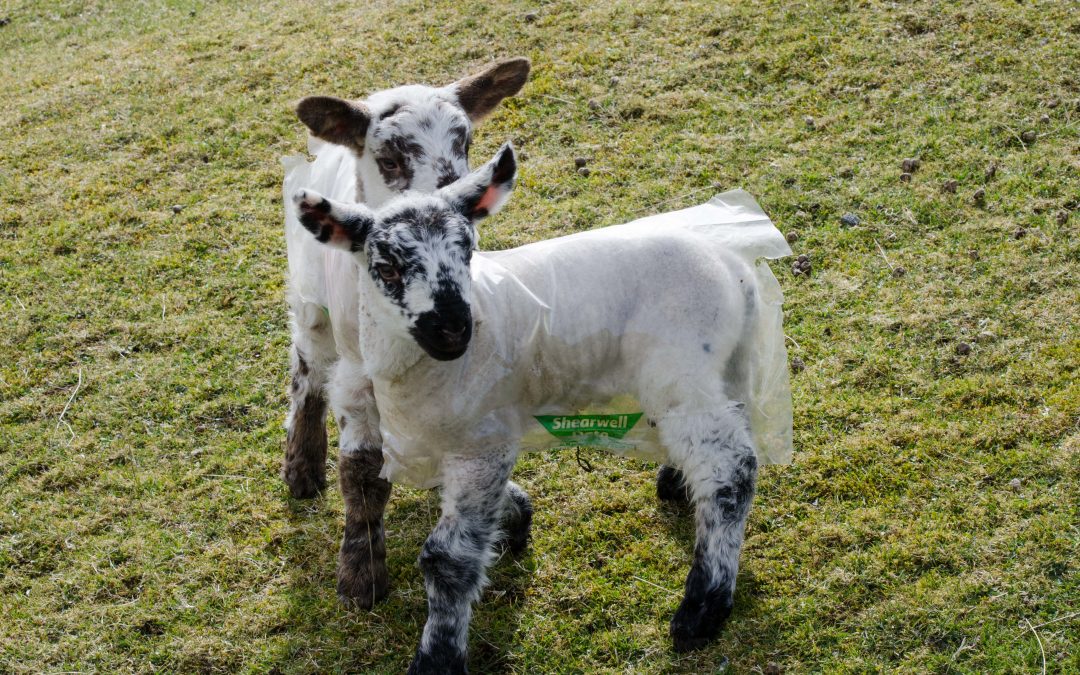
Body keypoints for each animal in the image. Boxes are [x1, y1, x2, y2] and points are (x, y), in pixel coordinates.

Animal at [281, 59, 530, 607]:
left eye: (466, 143)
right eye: (390, 159)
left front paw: (510, 508)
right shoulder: (357, 378)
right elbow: (361, 471)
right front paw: (360, 577)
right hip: (310, 298)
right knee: (307, 368)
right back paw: (301, 468)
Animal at [290, 142, 792, 673]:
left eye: (467, 252)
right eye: (386, 268)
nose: (454, 328)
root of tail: (737, 272)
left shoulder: (482, 442)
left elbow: (446, 559)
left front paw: (437, 657)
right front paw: (516, 518)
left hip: (682, 369)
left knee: (731, 468)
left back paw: (702, 610)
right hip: (721, 367)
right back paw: (678, 485)